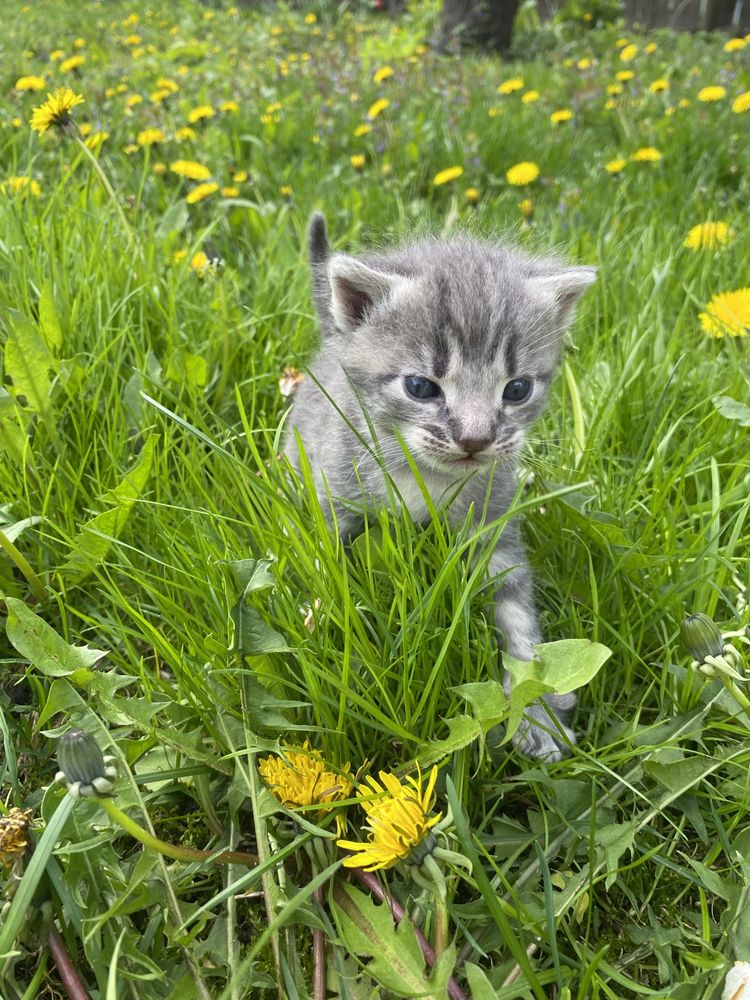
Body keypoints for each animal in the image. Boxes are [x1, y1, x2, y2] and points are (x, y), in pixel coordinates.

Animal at [284, 211, 596, 756]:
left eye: (517, 389)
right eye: (420, 387)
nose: (475, 438)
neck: (425, 477)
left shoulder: (495, 530)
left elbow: (519, 619)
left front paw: (533, 709)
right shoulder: (334, 502)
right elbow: (325, 571)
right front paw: (326, 640)